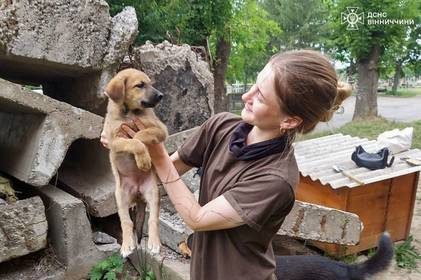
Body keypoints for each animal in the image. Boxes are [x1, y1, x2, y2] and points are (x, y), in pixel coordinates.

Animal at [101, 69, 167, 258]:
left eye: (150, 83)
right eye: (140, 85)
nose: (161, 95)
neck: (130, 112)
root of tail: (138, 193)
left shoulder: (160, 129)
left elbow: (140, 135)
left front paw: (143, 160)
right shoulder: (114, 140)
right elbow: (133, 142)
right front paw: (143, 158)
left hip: (153, 192)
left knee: (153, 219)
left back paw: (154, 243)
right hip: (121, 197)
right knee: (126, 222)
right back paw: (126, 246)